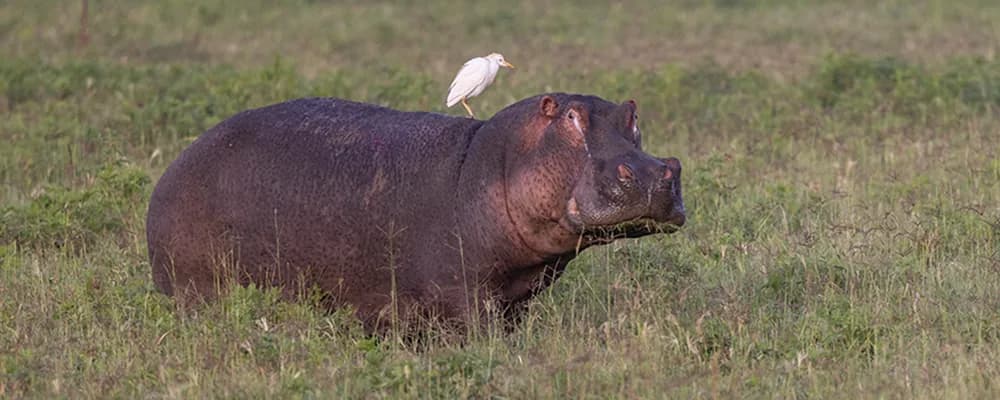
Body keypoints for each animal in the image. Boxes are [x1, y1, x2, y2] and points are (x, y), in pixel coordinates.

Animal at [146, 93, 685, 333]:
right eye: (571, 117)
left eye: (633, 116)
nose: (653, 171)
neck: (488, 162)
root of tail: (175, 166)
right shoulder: (464, 295)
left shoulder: (514, 301)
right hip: (197, 291)